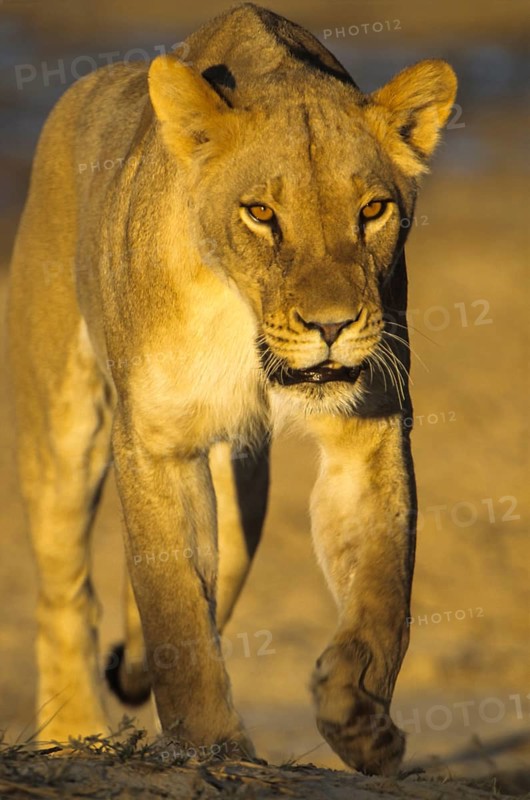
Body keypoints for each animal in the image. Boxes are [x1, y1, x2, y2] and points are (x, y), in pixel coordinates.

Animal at [6, 2, 456, 775]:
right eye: (261, 213)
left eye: (372, 210)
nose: (332, 326)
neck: (243, 321)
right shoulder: (155, 442)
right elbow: (176, 613)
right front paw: (208, 742)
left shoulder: (368, 430)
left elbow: (381, 593)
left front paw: (360, 719)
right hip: (62, 424)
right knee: (66, 590)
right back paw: (71, 730)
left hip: (244, 477)